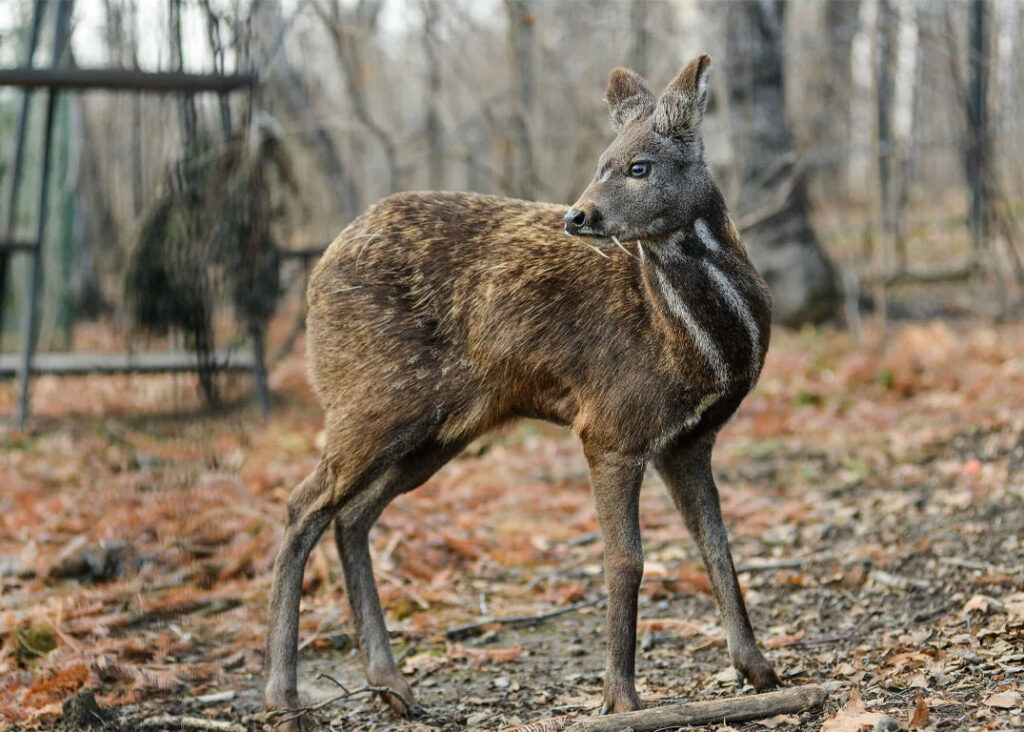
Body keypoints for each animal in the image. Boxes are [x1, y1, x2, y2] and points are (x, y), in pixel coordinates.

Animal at [264, 54, 774, 728]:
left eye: (639, 165)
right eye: (602, 161)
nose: (578, 216)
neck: (697, 345)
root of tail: (317, 273)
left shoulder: (688, 439)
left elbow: (717, 546)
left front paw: (759, 670)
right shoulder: (611, 425)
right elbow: (626, 560)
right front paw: (621, 697)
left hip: (439, 428)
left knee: (351, 515)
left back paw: (393, 687)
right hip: (369, 400)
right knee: (303, 505)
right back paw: (284, 700)